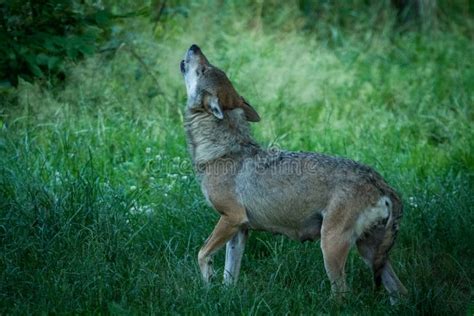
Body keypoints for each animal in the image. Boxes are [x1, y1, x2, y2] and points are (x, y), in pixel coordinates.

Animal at [180, 44, 406, 304]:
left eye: (204, 69)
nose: (194, 46)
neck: (222, 151)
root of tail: (379, 182)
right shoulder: (240, 229)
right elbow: (230, 275)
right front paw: (225, 299)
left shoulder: (231, 218)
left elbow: (201, 254)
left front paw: (207, 283)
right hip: (368, 251)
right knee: (399, 290)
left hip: (331, 247)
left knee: (342, 294)